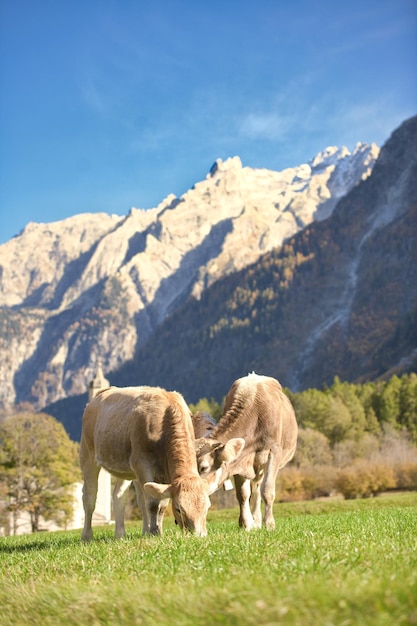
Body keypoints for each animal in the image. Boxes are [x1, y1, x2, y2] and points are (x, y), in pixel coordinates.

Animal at [79, 382, 214, 540]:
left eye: (207, 506)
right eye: (179, 509)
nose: (199, 535)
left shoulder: (165, 474)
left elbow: (162, 505)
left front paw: (158, 530)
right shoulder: (142, 464)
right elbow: (152, 503)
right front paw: (154, 532)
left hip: (124, 468)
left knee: (119, 496)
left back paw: (121, 535)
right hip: (87, 455)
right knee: (89, 497)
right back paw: (87, 536)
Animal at [193, 372, 298, 528]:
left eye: (204, 468)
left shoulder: (273, 452)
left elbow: (267, 490)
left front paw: (269, 523)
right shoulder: (239, 460)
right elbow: (242, 494)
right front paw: (246, 524)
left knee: (259, 488)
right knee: (255, 487)